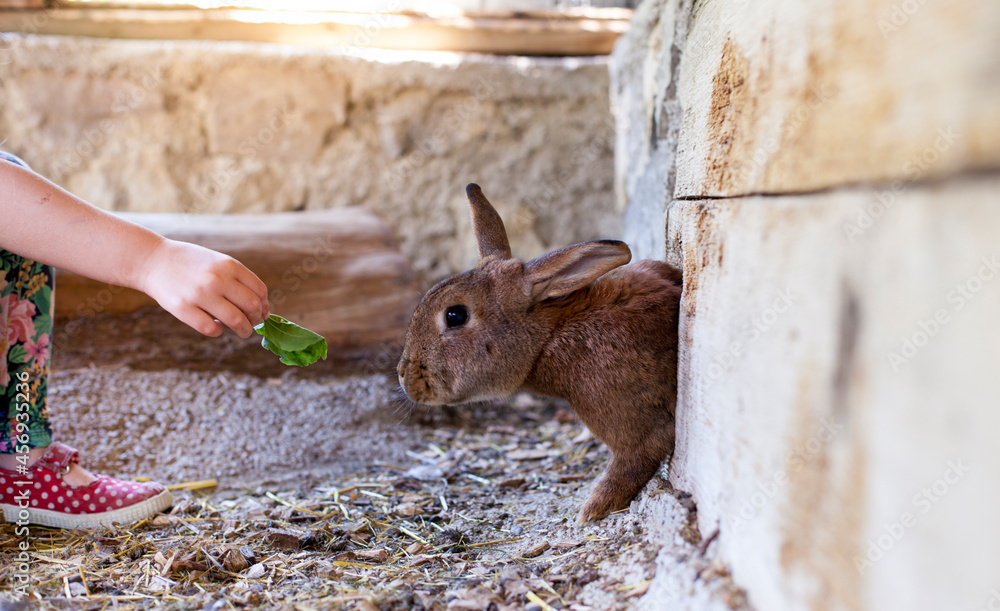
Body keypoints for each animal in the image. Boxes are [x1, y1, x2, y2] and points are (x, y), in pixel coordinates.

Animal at [397, 183, 682, 523]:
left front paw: (593, 510)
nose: (404, 375)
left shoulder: (629, 423)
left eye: (455, 315)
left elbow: (634, 459)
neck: (549, 336)